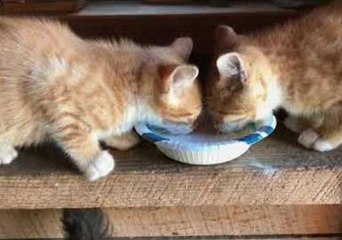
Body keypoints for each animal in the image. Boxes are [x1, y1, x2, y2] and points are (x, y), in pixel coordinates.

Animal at [0, 17, 202, 180]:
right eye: (193, 115)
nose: (194, 128)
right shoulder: (47, 82)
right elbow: (74, 131)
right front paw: (93, 159)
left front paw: (120, 137)